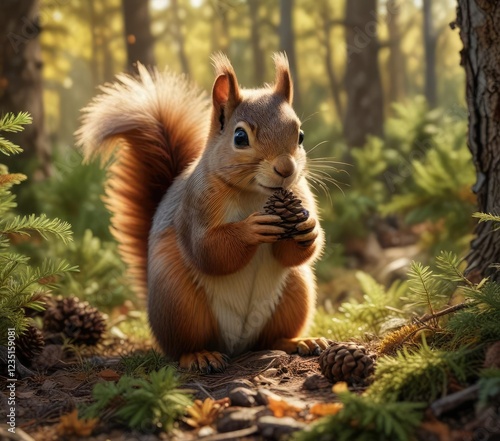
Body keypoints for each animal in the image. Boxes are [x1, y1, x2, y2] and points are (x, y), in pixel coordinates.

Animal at [76, 52, 328, 372]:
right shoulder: (196, 203)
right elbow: (207, 250)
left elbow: (292, 254)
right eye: (240, 137)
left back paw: (299, 341)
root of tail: (236, 344)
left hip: (296, 290)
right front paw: (250, 229)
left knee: (271, 337)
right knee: (181, 346)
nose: (286, 169)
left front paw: (310, 229)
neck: (255, 195)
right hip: (179, 301)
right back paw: (198, 355)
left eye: (300, 135)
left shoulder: (300, 194)